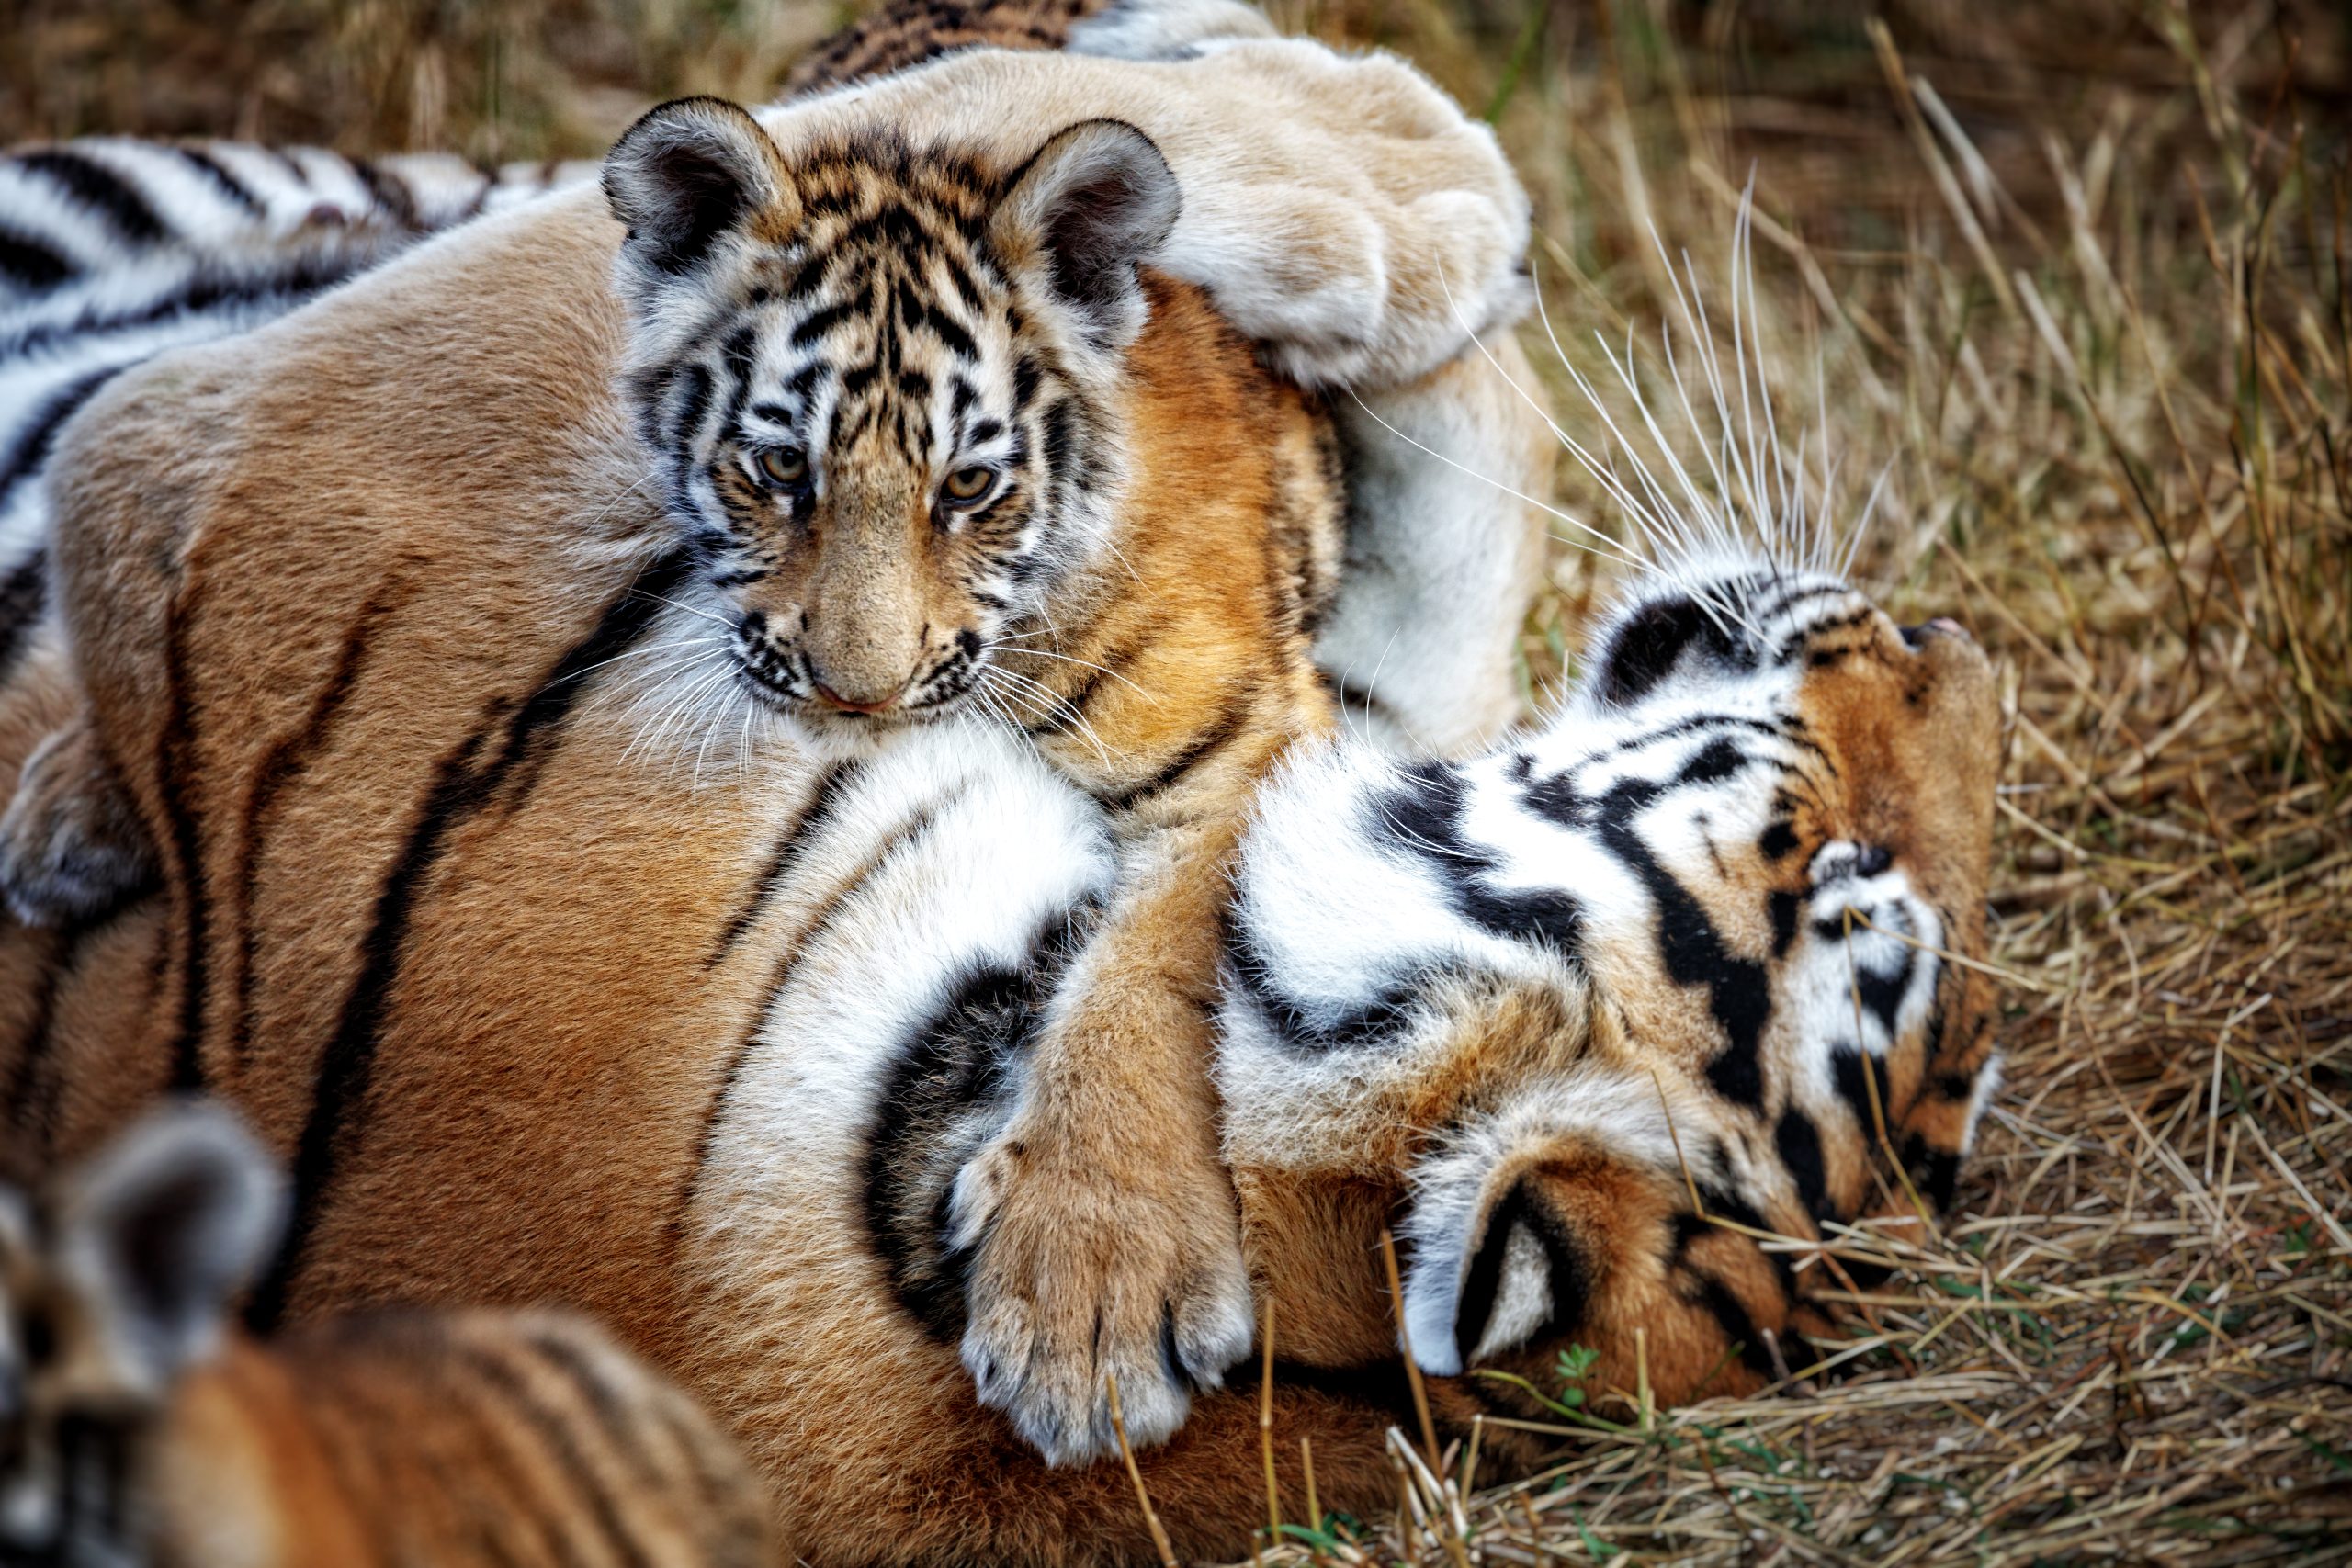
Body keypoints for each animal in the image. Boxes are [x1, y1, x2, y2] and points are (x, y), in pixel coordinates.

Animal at [0, 0, 1550, 1475]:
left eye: (970, 487)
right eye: (773, 469)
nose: (858, 695)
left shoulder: (1243, 744)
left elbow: (1158, 965)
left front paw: (1094, 1290)